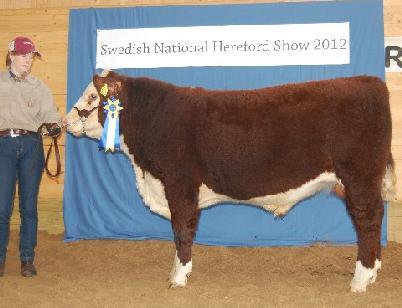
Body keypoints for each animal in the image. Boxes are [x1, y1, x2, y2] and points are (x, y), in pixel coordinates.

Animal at [64, 71, 398, 292]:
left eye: (93, 96)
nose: (65, 123)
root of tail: (369, 81)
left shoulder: (180, 185)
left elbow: (181, 232)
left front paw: (179, 277)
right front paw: (176, 272)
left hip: (359, 176)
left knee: (368, 222)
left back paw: (360, 279)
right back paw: (373, 273)